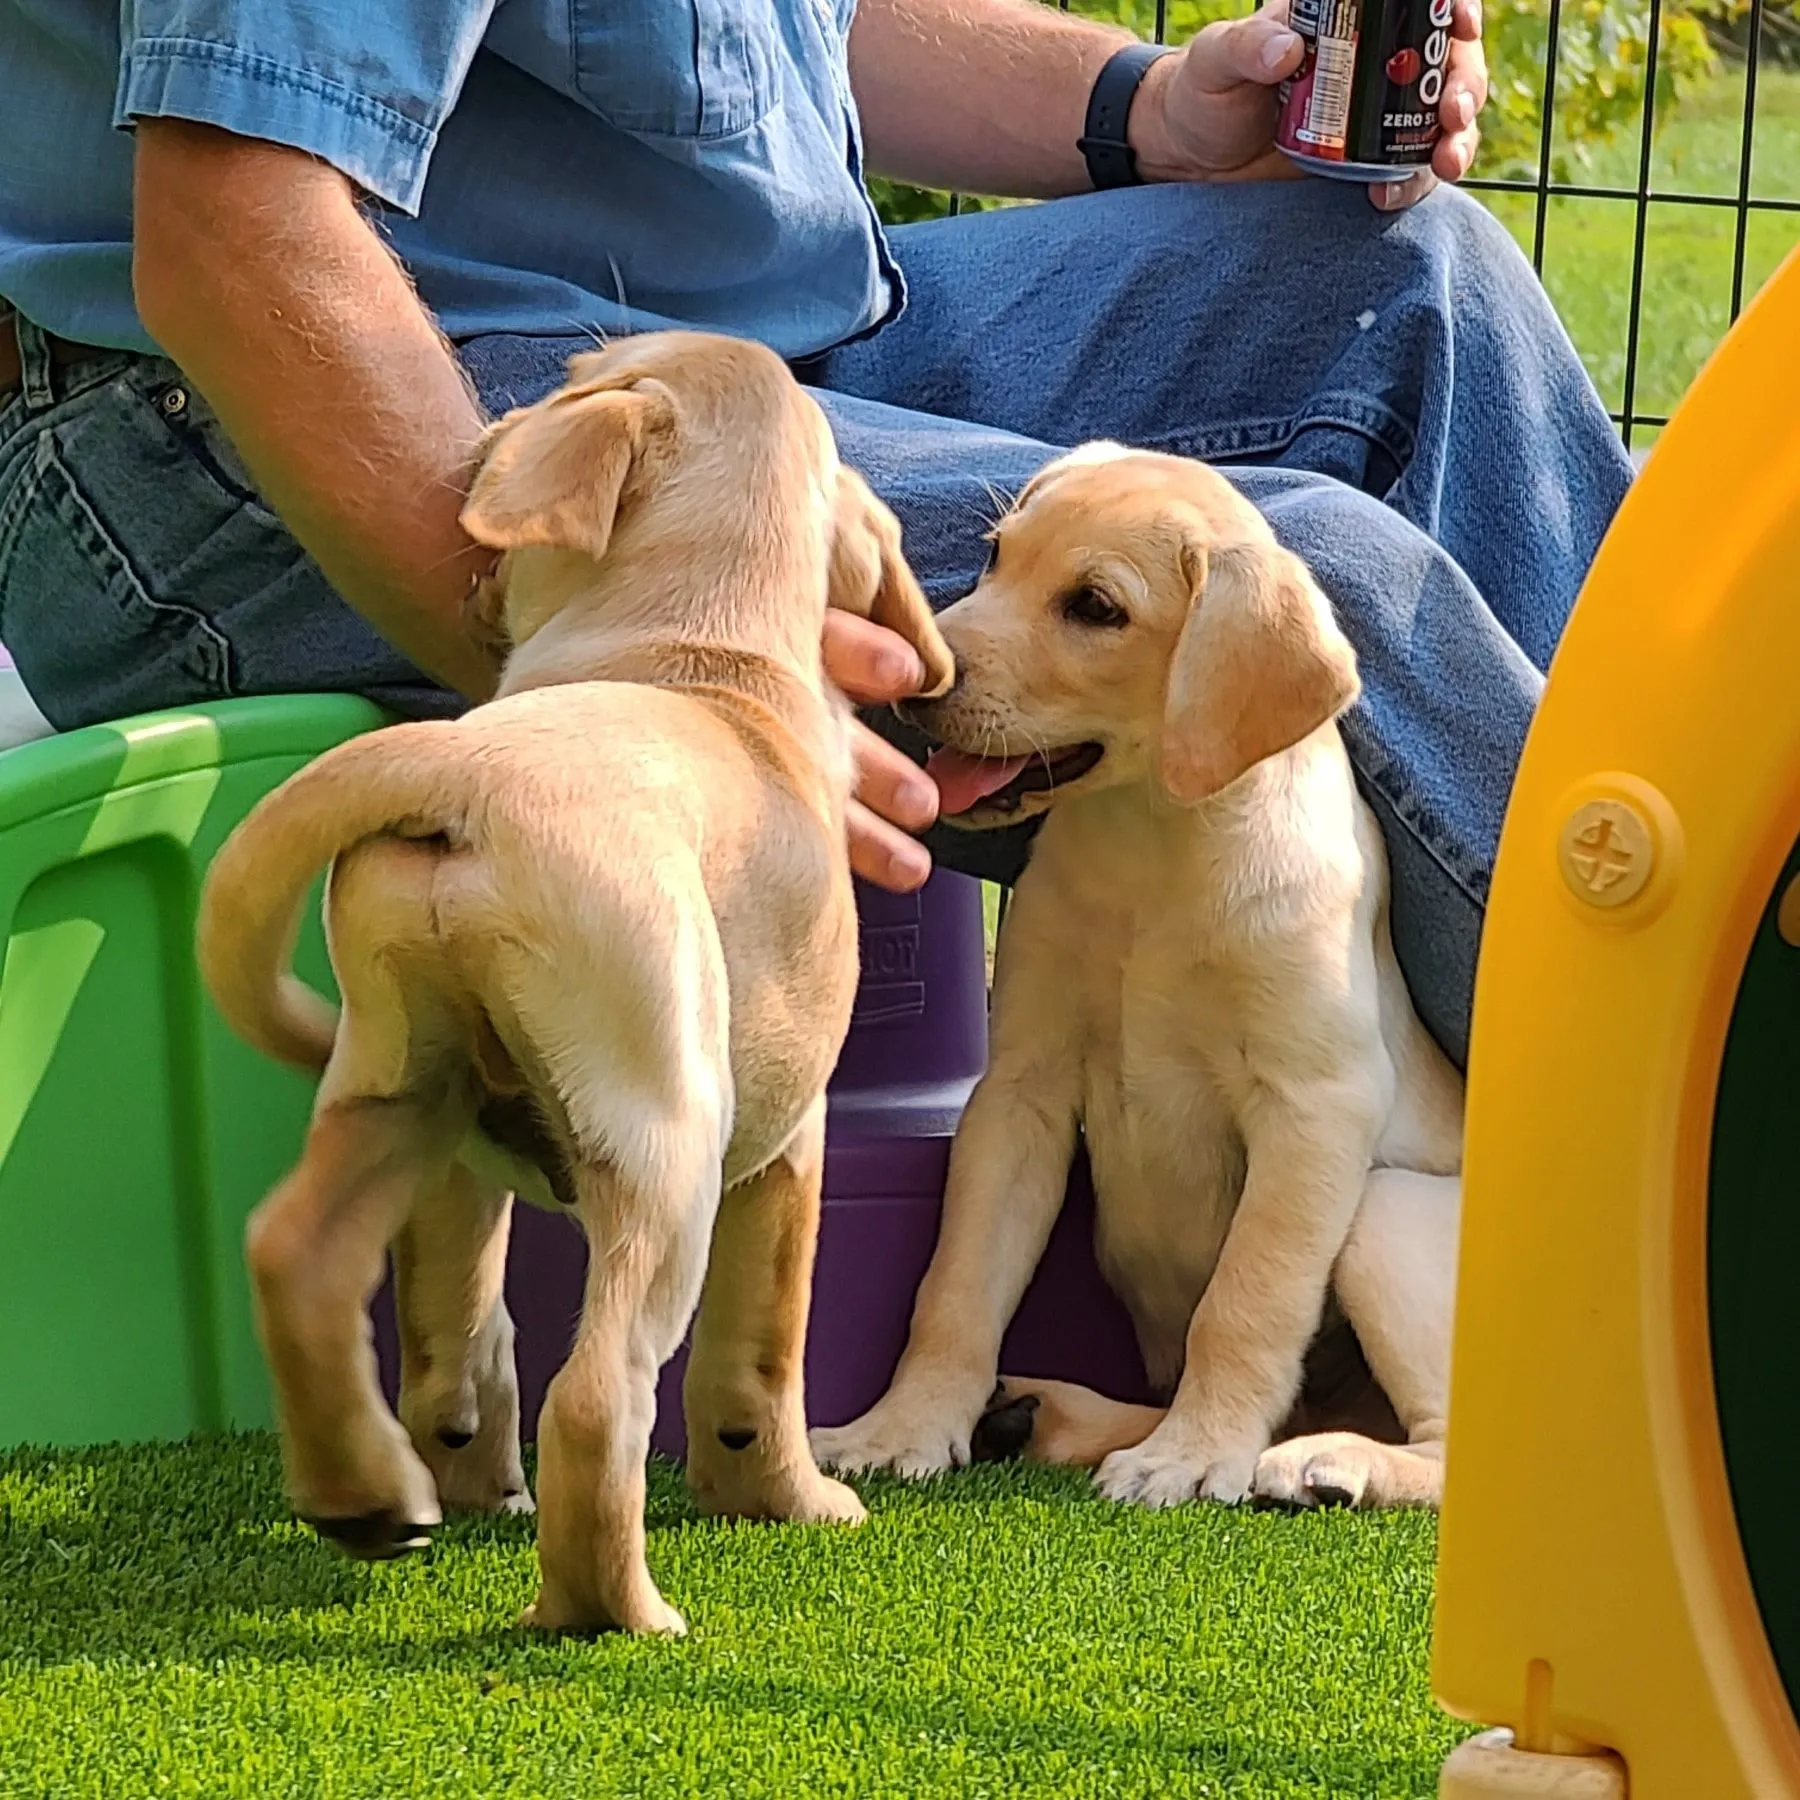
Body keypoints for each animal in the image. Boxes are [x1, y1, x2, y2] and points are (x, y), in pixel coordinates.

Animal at [197, 331, 957, 1641]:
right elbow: (764, 1353)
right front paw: (790, 1499)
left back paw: (371, 1498)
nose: (492, 429)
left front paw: (466, 1478)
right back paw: (612, 1613)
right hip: (669, 1146)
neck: (693, 650)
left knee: (298, 1255)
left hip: (398, 1087)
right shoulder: (792, 1144)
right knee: (598, 1398)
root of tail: (463, 768)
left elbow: (459, 1325)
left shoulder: (461, 1174)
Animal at [817, 442, 1461, 1512]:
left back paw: (1324, 1461)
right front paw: (906, 1427)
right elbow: (956, 1285)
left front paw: (1196, 1454)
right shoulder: (1019, 1092)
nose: (920, 672)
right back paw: (1047, 1415)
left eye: (1096, 607)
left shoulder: (1316, 1104)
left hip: (1384, 1213)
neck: (1151, 850)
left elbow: (1244, 1300)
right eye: (995, 557)